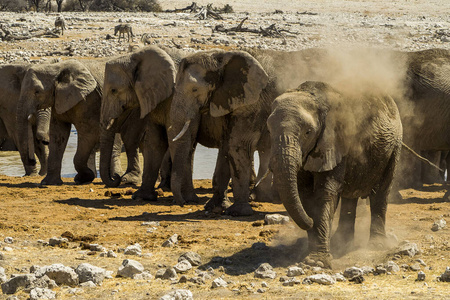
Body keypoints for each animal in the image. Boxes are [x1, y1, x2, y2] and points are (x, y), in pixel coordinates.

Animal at [268, 81, 404, 268]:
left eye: (308, 132)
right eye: (268, 130)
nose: (309, 222)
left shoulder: (335, 142)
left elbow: (324, 194)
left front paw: (316, 262)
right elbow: (304, 195)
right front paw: (309, 253)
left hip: (394, 145)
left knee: (381, 193)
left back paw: (376, 246)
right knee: (350, 196)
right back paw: (343, 243)